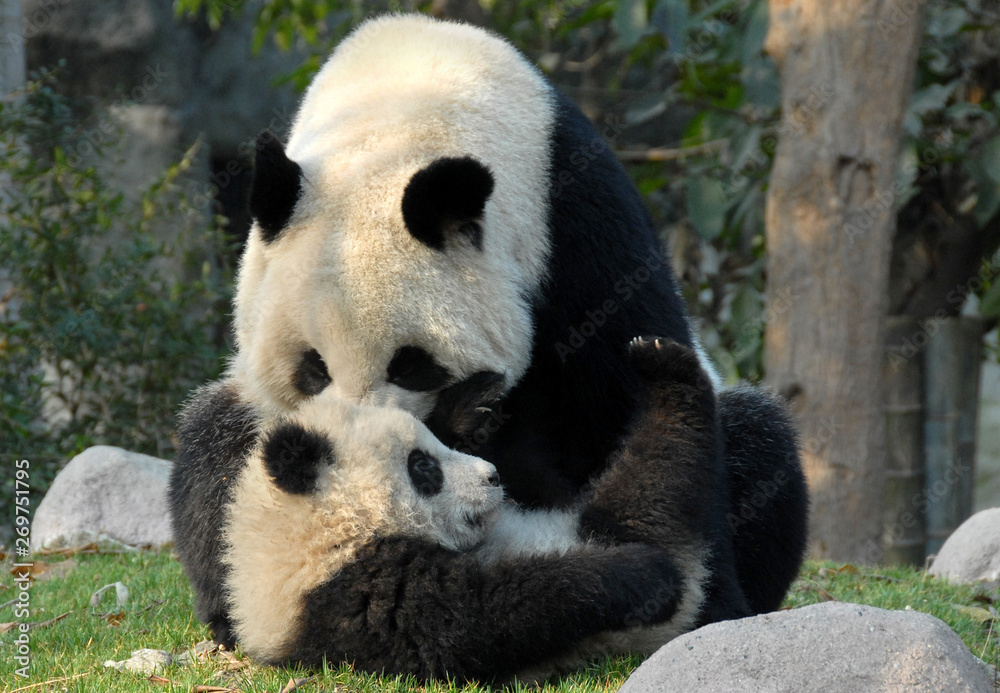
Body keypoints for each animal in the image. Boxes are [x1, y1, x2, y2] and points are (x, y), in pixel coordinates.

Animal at [176, 12, 807, 646]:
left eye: (411, 365)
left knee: (758, 438)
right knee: (212, 442)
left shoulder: (581, 238)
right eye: (312, 369)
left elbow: (622, 408)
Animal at [222, 336, 718, 682]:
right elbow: (479, 618)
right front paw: (637, 575)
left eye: (436, 445)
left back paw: (663, 363)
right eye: (423, 466)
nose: (492, 477)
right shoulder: (351, 596)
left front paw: (473, 405)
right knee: (654, 483)